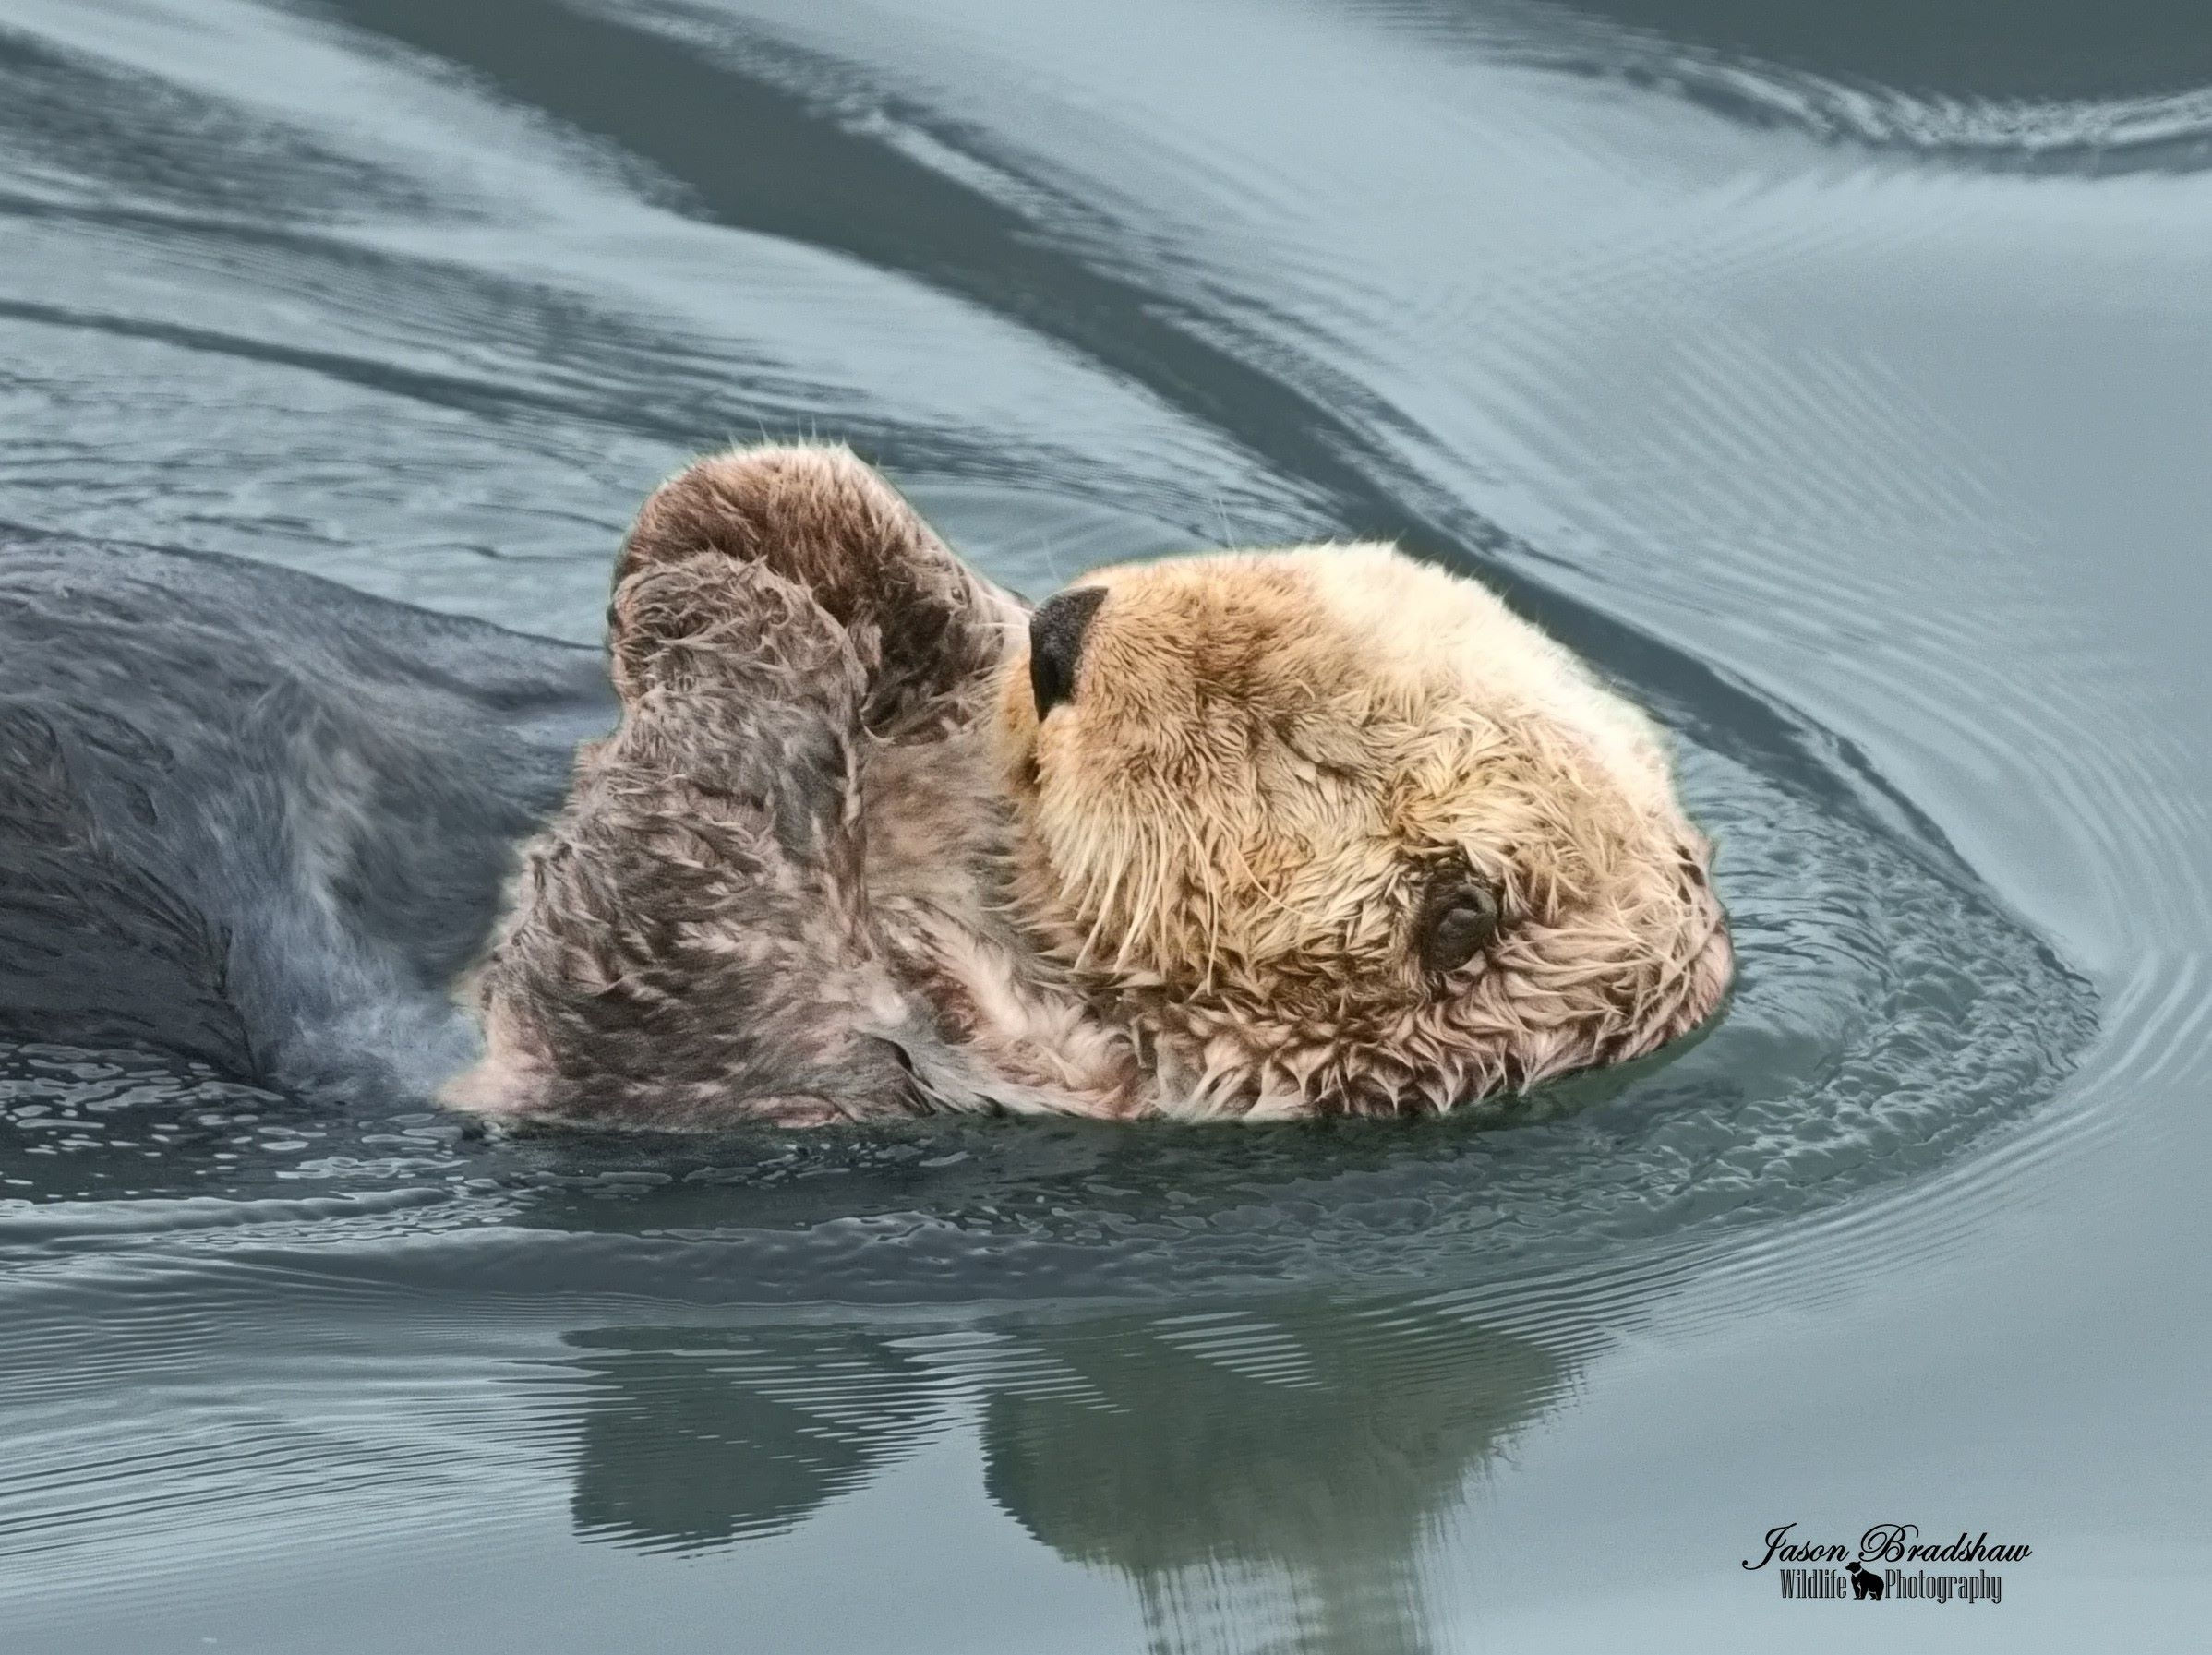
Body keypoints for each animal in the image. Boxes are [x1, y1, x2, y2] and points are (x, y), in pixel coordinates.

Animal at [449, 445, 1732, 1125]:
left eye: (1273, 726)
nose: (1063, 632)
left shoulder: (799, 1058)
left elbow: (662, 917)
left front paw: (738, 614)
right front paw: (767, 511)